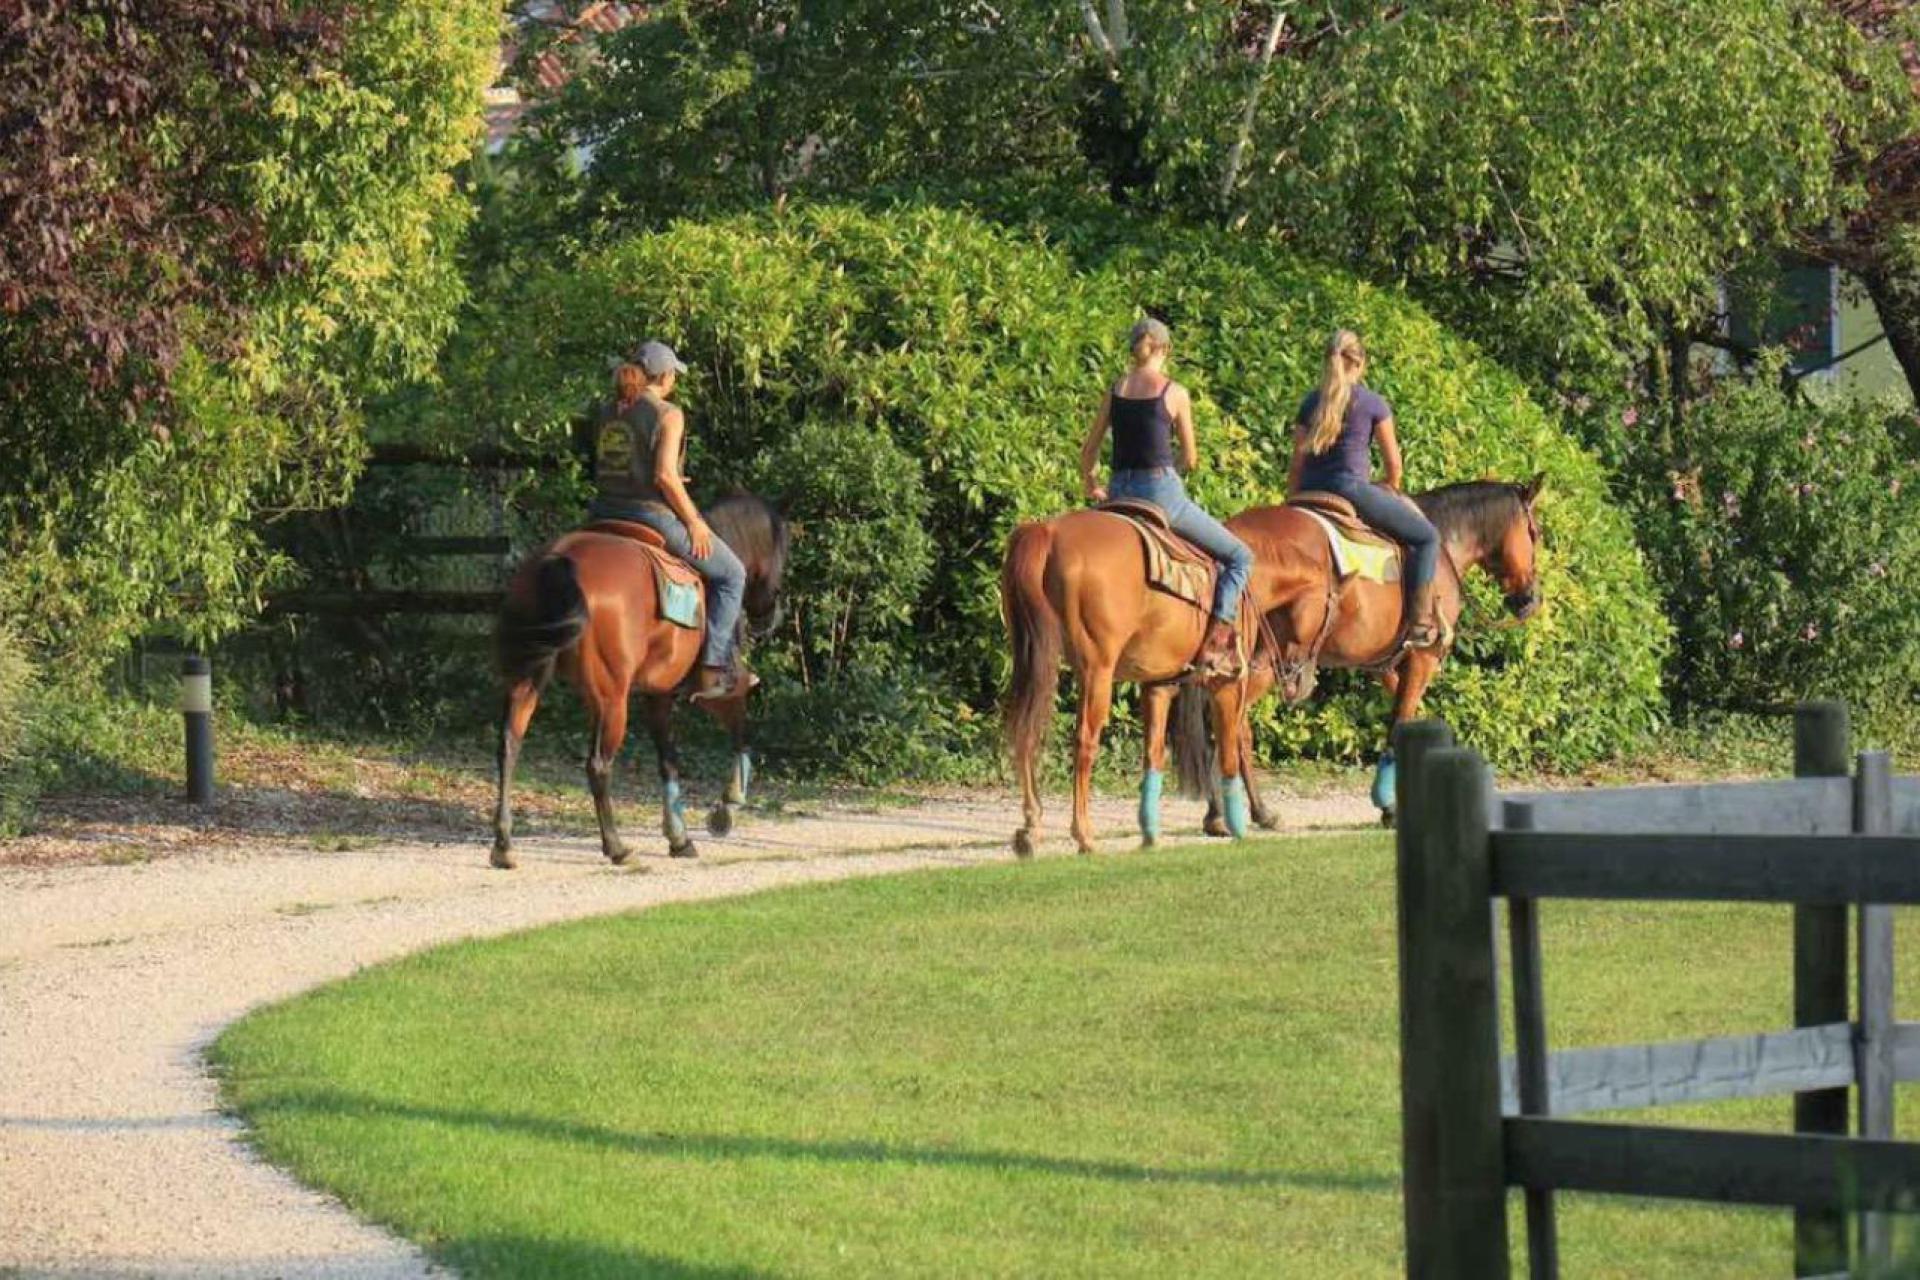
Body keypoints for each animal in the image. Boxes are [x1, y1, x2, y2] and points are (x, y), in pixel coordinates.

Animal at [487, 495, 787, 871]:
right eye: (782, 554)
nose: (770, 616)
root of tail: (559, 558)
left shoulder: (657, 696)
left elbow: (668, 761)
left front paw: (679, 838)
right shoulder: (720, 690)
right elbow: (742, 735)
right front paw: (727, 807)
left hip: (528, 679)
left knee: (509, 746)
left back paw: (503, 845)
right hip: (611, 699)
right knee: (598, 765)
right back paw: (617, 847)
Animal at [998, 506, 1251, 855]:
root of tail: (1047, 532)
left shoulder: (1158, 686)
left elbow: (1153, 752)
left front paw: (1150, 832)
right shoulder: (1228, 684)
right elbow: (1229, 749)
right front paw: (1236, 825)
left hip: (1033, 659)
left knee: (1026, 729)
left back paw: (1030, 830)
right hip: (1096, 670)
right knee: (1084, 741)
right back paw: (1084, 835)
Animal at [1167, 479, 1543, 832]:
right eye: (1534, 533)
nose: (1529, 599)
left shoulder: (1385, 667)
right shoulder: (1423, 658)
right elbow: (1399, 722)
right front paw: (1390, 808)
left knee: (1230, 724)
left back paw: (1242, 812)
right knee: (1229, 723)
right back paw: (1235, 812)